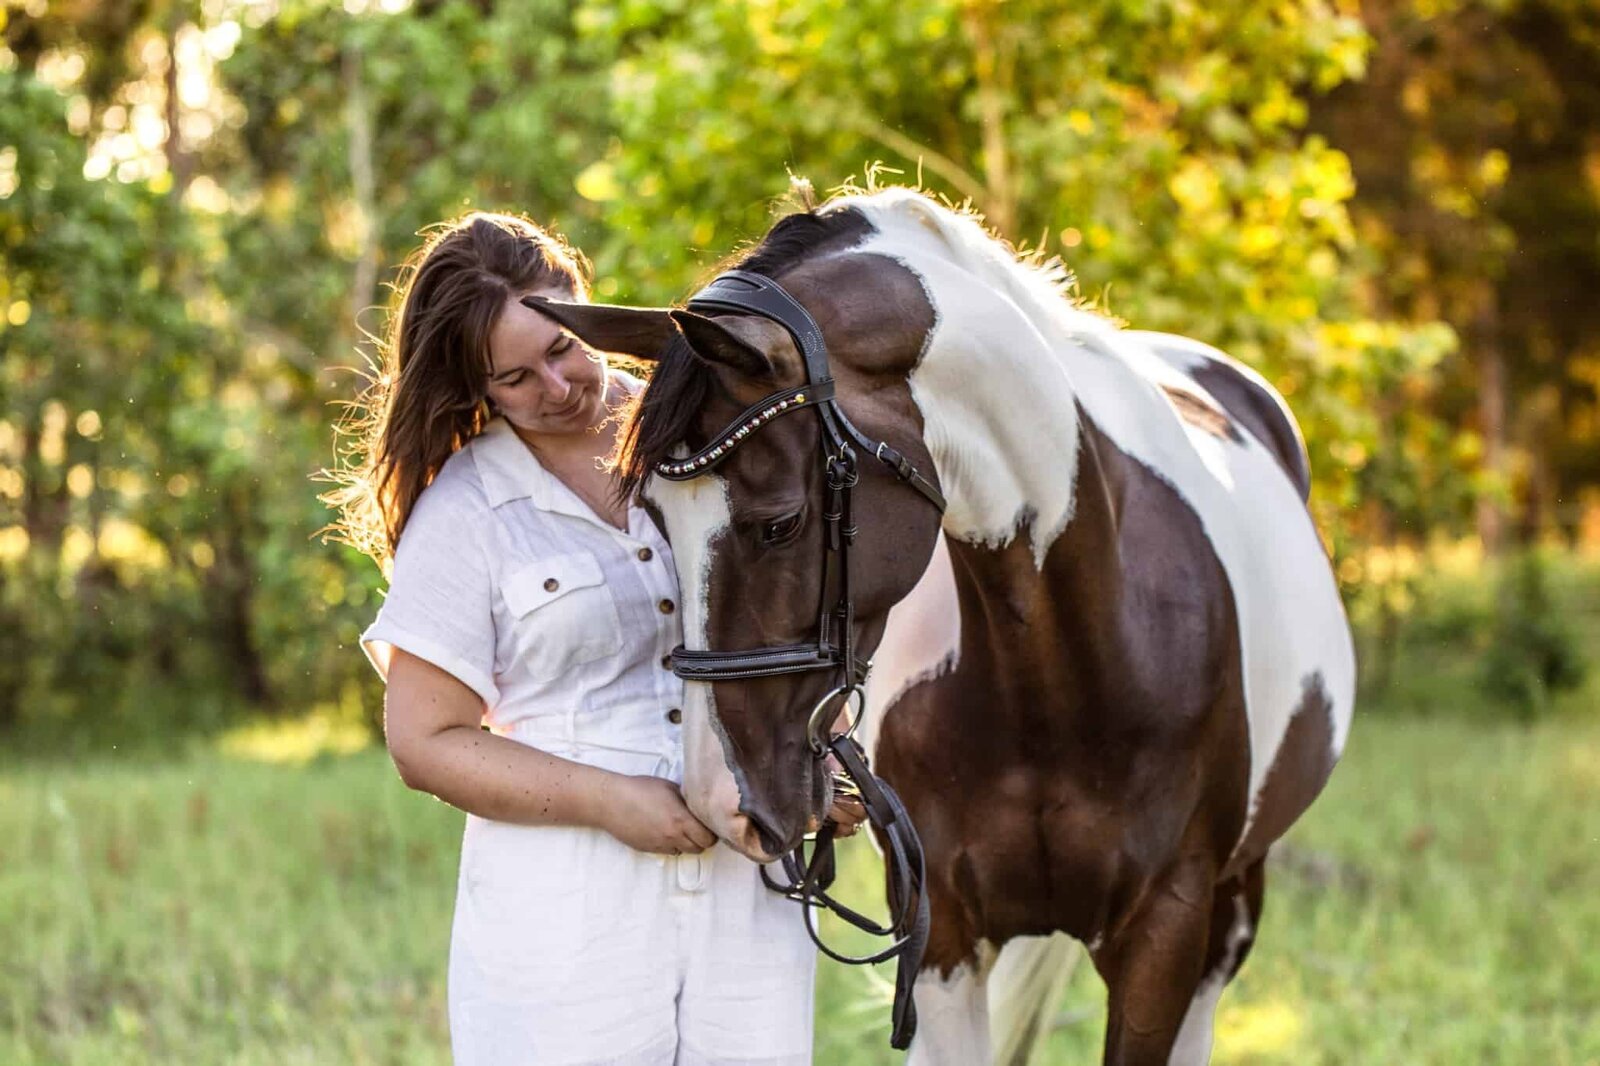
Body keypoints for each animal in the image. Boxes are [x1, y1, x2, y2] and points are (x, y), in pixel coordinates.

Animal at [531, 186, 1356, 1056]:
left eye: (779, 524)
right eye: (655, 516)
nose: (725, 803)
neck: (1068, 670)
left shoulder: (1165, 934)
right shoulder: (943, 939)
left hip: (1232, 907)